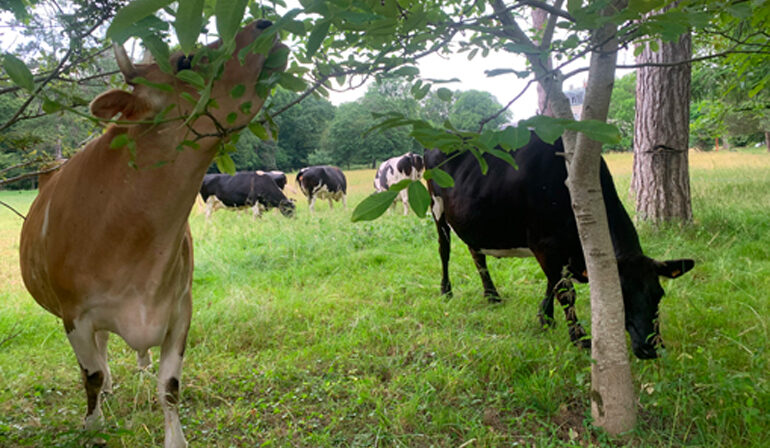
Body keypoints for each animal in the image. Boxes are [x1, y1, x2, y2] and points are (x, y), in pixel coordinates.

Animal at [18, 19, 288, 446]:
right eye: (185, 61)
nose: (263, 22)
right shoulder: (74, 315)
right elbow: (90, 375)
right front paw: (92, 422)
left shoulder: (180, 308)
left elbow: (169, 386)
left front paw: (175, 438)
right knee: (98, 359)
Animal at [424, 133, 692, 360]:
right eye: (619, 296)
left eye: (659, 294)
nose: (651, 347)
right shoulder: (545, 244)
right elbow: (565, 291)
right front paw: (580, 338)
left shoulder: (561, 250)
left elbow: (553, 282)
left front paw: (546, 318)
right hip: (437, 210)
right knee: (444, 250)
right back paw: (446, 291)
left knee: (476, 253)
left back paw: (492, 296)